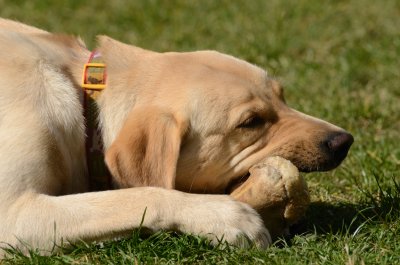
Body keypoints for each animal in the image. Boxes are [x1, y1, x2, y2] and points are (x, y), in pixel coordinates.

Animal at [0, 18, 354, 254]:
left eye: (283, 97)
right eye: (251, 122)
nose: (344, 141)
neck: (86, 102)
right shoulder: (12, 214)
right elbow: (144, 194)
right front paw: (222, 215)